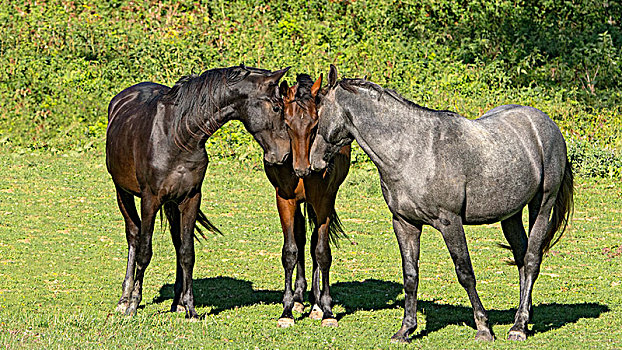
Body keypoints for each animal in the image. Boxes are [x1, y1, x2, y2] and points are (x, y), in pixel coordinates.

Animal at [107, 64, 292, 318]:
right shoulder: (150, 200)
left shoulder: (190, 198)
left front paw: (190, 309)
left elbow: (187, 252)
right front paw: (133, 305)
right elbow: (145, 251)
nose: (285, 154)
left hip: (172, 203)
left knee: (176, 242)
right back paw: (124, 299)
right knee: (133, 236)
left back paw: (177, 301)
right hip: (122, 192)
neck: (178, 134)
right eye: (276, 107)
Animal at [264, 74, 352, 328]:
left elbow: (322, 252)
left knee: (312, 243)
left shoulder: (323, 201)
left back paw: (315, 303)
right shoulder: (285, 199)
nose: (303, 169)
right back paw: (299, 298)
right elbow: (290, 251)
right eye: (287, 125)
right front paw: (287, 310)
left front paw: (327, 310)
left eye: (315, 126)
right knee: (301, 238)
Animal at [308, 65, 576, 342]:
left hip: (542, 206)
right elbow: (410, 276)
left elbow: (465, 273)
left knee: (532, 260)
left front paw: (483, 328)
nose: (314, 163)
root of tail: (548, 125)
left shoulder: (450, 223)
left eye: (318, 115)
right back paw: (523, 318)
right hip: (510, 215)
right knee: (522, 258)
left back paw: (519, 327)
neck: (412, 151)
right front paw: (406, 329)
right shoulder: (404, 223)